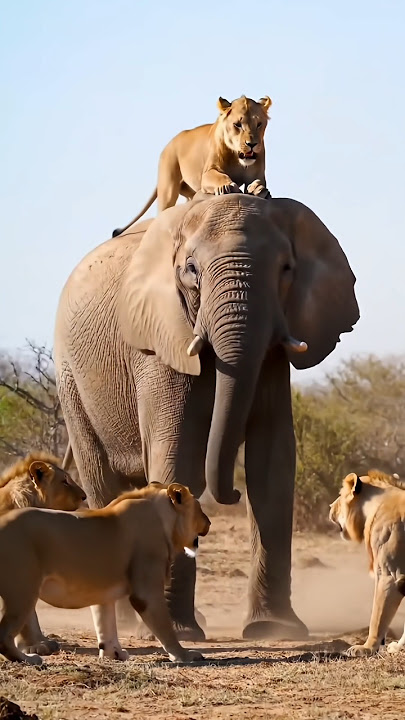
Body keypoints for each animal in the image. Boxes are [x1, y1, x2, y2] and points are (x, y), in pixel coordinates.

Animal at [0, 481, 210, 665]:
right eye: (199, 508)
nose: (209, 522)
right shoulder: (146, 592)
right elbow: (165, 628)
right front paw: (184, 655)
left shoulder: (101, 593)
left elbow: (105, 623)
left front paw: (113, 653)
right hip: (22, 591)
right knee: (5, 635)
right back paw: (29, 659)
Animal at [54, 192, 359, 641]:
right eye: (191, 270)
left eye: (286, 269)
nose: (229, 494)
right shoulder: (161, 342)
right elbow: (177, 458)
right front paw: (178, 632)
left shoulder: (271, 357)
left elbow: (272, 463)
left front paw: (274, 630)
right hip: (71, 379)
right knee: (102, 481)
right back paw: (127, 619)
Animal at [112, 94, 272, 237]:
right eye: (237, 125)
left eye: (259, 124)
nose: (252, 144)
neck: (238, 158)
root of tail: (170, 144)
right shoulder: (207, 173)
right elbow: (218, 176)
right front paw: (227, 186)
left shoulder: (257, 174)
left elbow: (259, 182)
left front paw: (258, 189)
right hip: (168, 188)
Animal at [329, 469, 405, 656]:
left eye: (341, 495)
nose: (330, 507)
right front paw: (398, 647)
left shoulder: (389, 574)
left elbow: (377, 617)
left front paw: (366, 648)